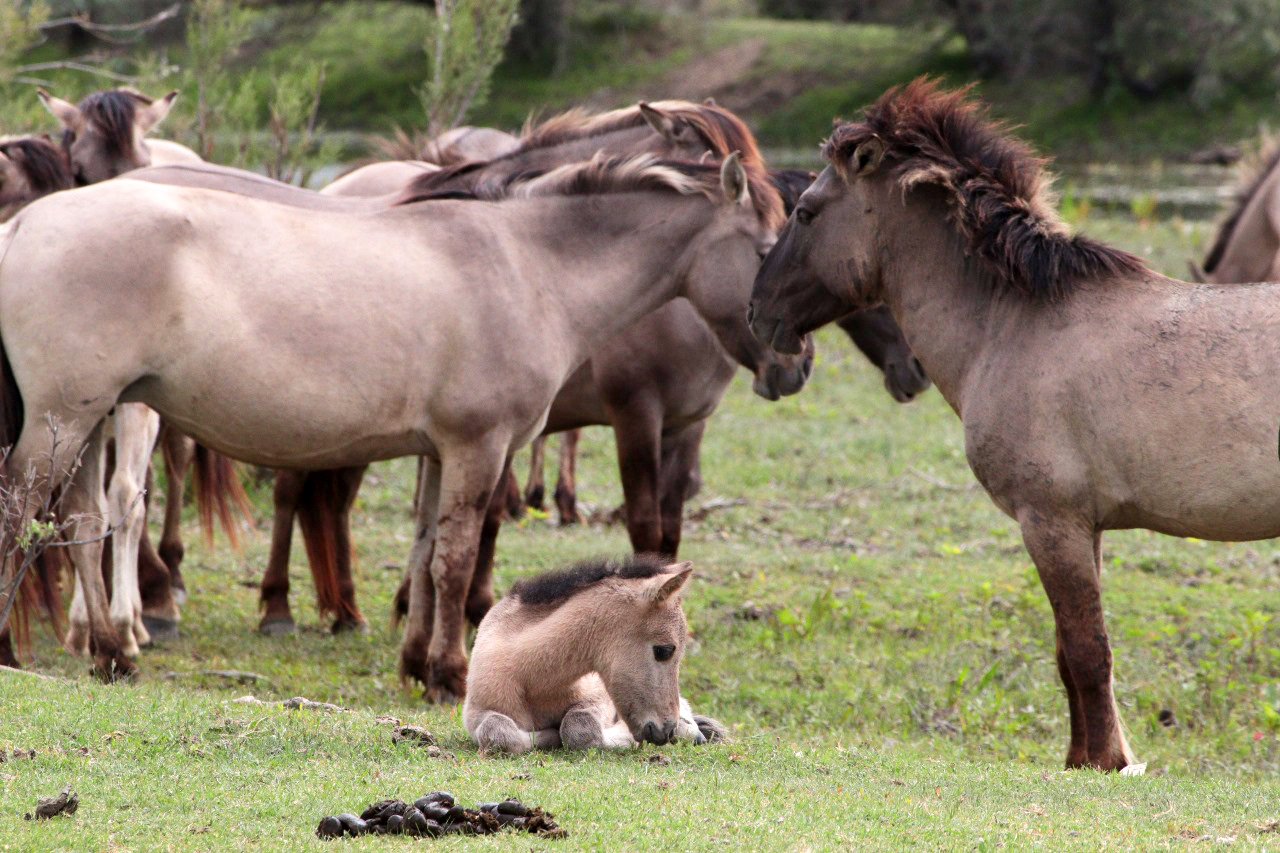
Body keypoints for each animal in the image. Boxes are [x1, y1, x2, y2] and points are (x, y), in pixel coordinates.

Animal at [0, 149, 783, 691]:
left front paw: (415, 663)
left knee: (81, 522)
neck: (527, 266)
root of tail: (23, 222)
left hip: (92, 420)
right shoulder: (478, 448)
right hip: (63, 421)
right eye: (767, 249)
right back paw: (19, 647)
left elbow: (427, 550)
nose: (791, 364)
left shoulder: (440, 452)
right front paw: (451, 672)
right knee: (21, 516)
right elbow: (456, 561)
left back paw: (111, 652)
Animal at [463, 550, 727, 753]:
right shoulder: (476, 713)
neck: (530, 679)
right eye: (664, 650)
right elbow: (497, 732)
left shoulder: (600, 699)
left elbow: (579, 725)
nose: (666, 730)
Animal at [747, 81, 1280, 768]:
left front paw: (1108, 763)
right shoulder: (1081, 528)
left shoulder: (1050, 522)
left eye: (807, 212)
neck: (1016, 324)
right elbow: (1067, 655)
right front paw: (1083, 761)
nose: (758, 312)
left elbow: (1087, 653)